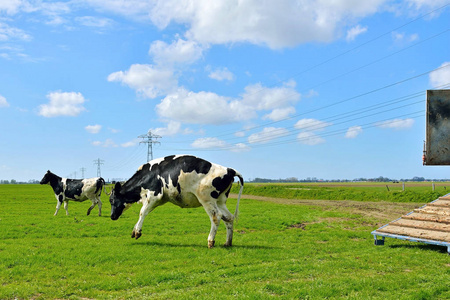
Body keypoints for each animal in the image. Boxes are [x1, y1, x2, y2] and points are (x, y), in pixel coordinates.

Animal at [110, 155, 244, 248]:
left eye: (111, 200)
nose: (112, 216)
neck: (148, 175)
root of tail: (229, 169)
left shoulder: (154, 195)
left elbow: (142, 212)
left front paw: (137, 231)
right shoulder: (158, 199)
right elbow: (144, 212)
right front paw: (134, 229)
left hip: (206, 199)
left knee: (216, 216)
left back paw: (210, 241)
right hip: (220, 201)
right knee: (228, 217)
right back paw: (228, 242)